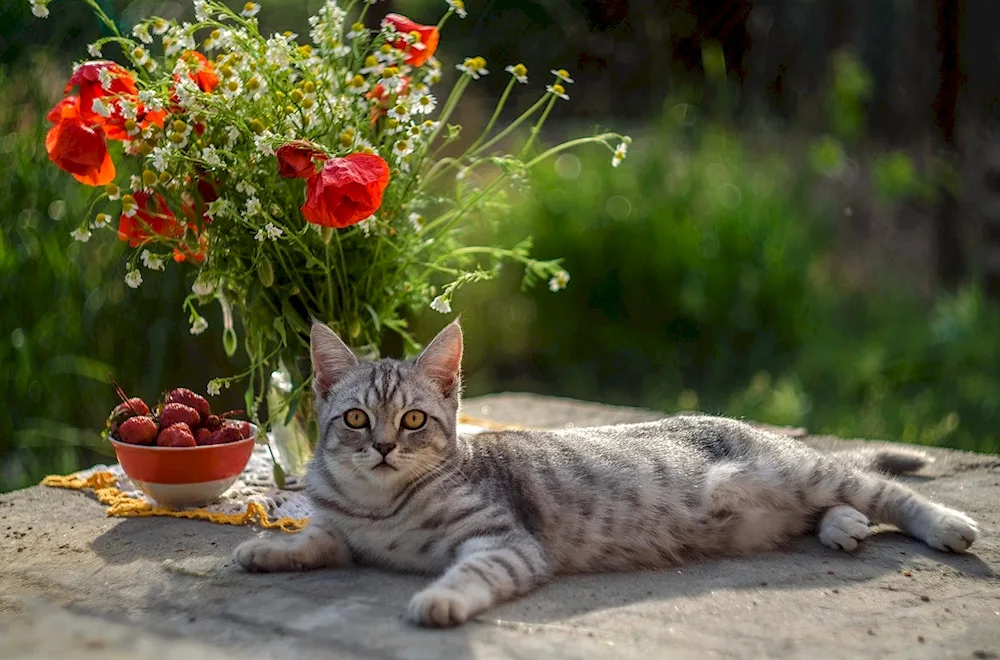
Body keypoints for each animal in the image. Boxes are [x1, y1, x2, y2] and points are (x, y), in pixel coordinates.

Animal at [234, 320, 976, 628]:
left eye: (414, 420)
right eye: (358, 419)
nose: (386, 446)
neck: (381, 505)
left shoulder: (505, 541)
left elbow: (468, 574)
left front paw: (439, 600)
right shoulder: (346, 531)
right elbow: (318, 536)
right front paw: (265, 548)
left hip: (804, 472)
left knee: (884, 491)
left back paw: (945, 525)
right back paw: (841, 528)